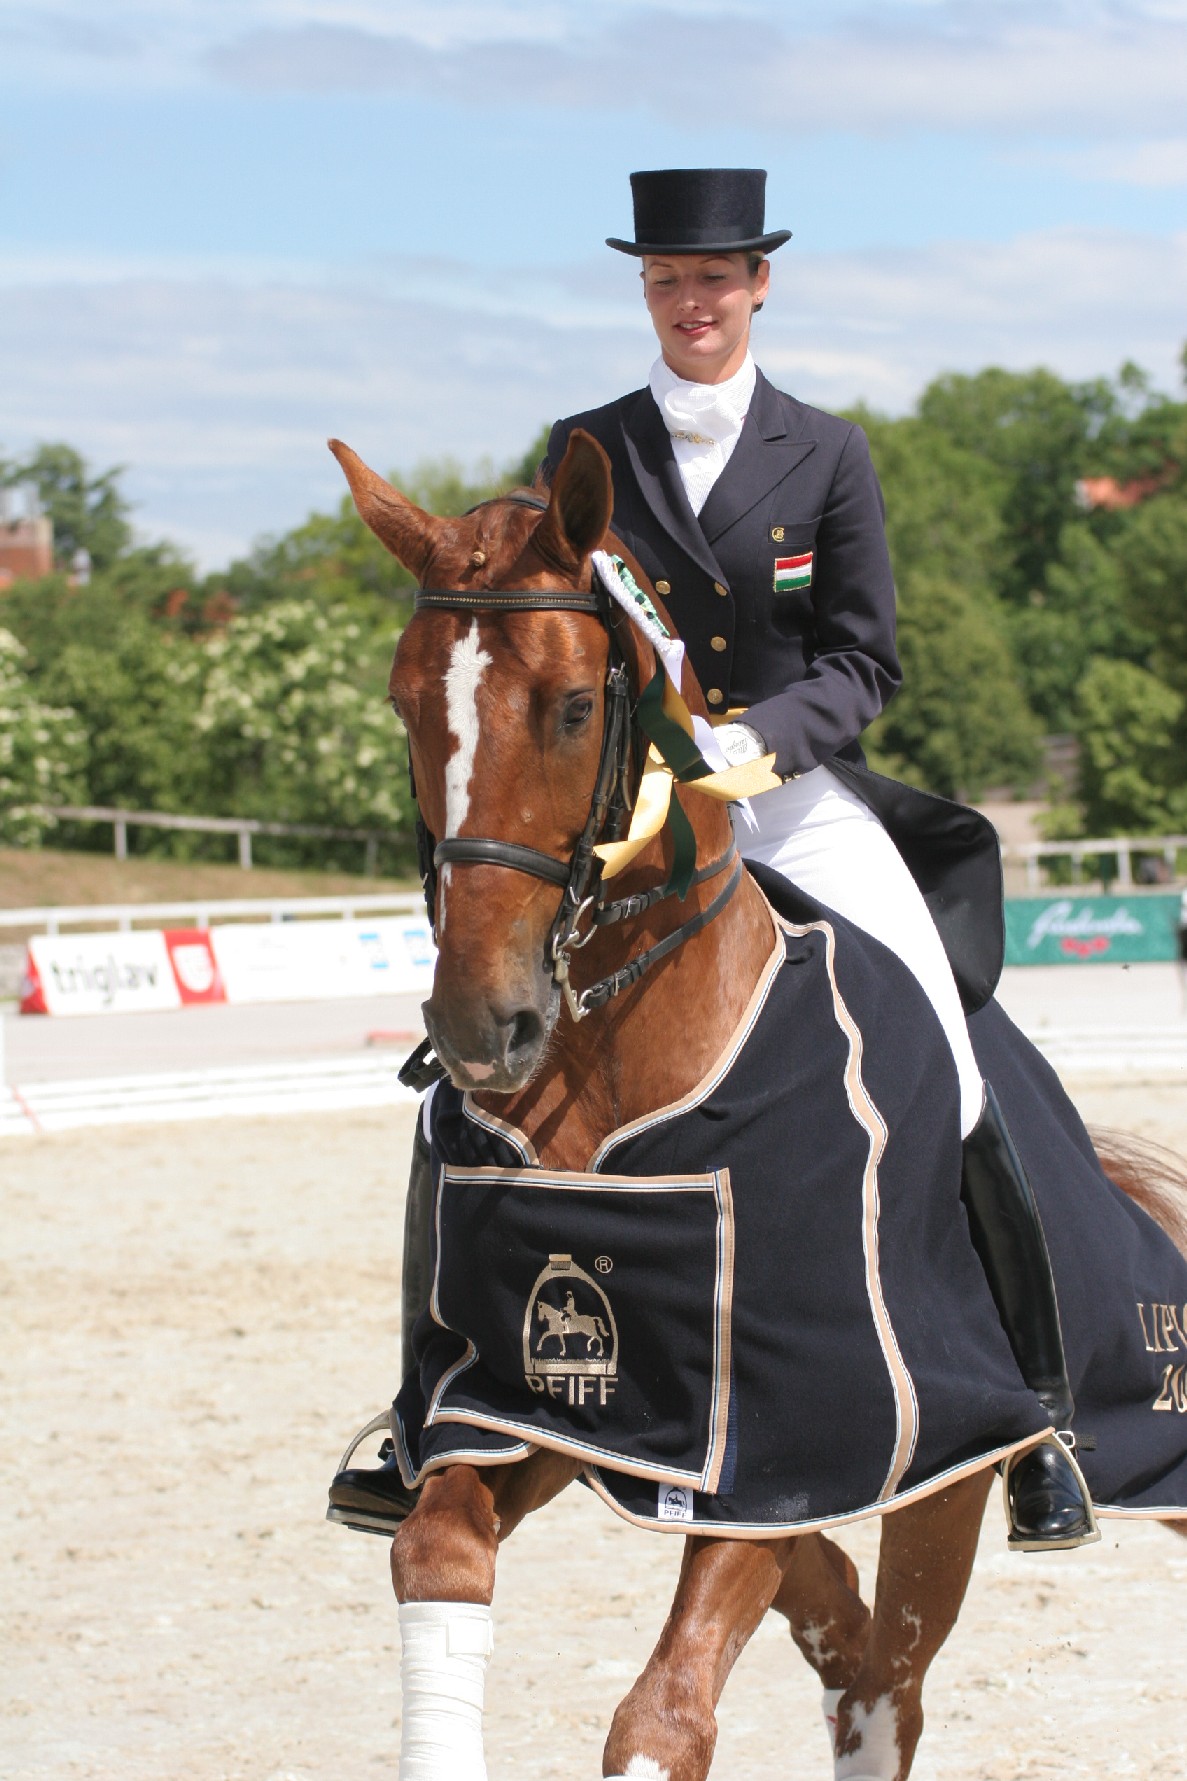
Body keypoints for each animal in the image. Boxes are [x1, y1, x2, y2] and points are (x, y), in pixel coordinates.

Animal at [328, 426, 1187, 1781]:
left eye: (573, 707)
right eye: (406, 706)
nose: (479, 1027)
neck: (611, 1073)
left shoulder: (799, 1441)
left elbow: (661, 1715)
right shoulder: (522, 1409)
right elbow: (437, 1549)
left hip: (949, 1464)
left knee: (885, 1678)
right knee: (854, 1646)